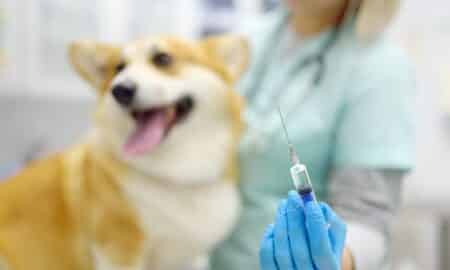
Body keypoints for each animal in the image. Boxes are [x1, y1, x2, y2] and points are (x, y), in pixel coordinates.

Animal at [0, 34, 248, 270]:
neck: (175, 176)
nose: (120, 89)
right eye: (119, 68)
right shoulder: (119, 250)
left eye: (163, 59)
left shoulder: (191, 258)